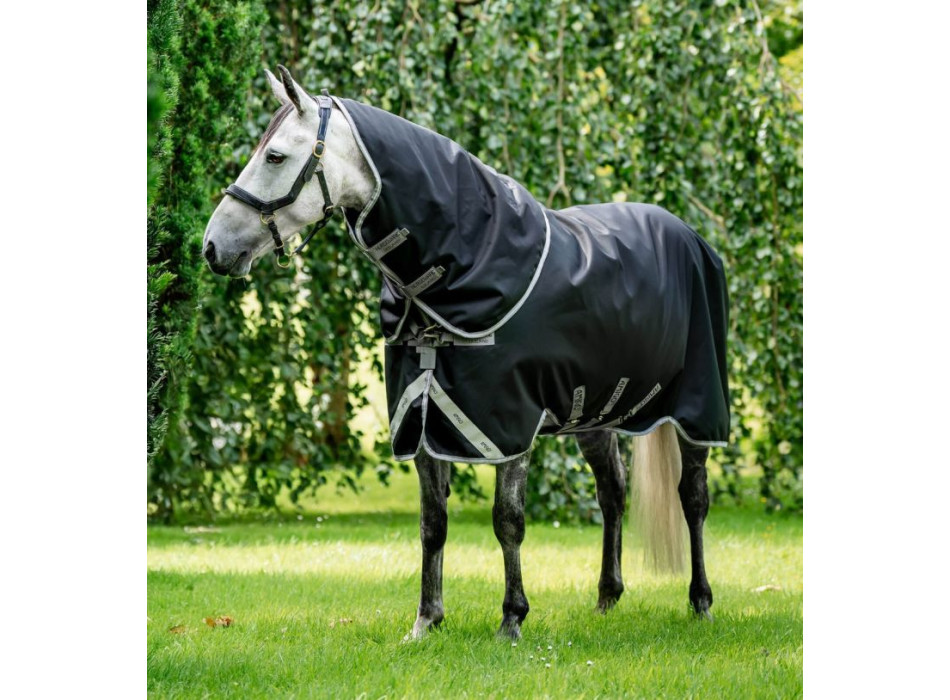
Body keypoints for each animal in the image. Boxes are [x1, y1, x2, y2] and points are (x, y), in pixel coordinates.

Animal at [203, 66, 728, 640]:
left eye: (275, 156)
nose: (212, 248)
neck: (462, 265)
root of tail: (691, 236)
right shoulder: (421, 417)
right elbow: (432, 524)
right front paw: (426, 621)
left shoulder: (508, 426)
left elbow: (508, 521)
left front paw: (512, 619)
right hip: (593, 415)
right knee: (612, 492)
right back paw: (607, 599)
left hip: (696, 409)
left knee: (693, 498)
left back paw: (701, 601)